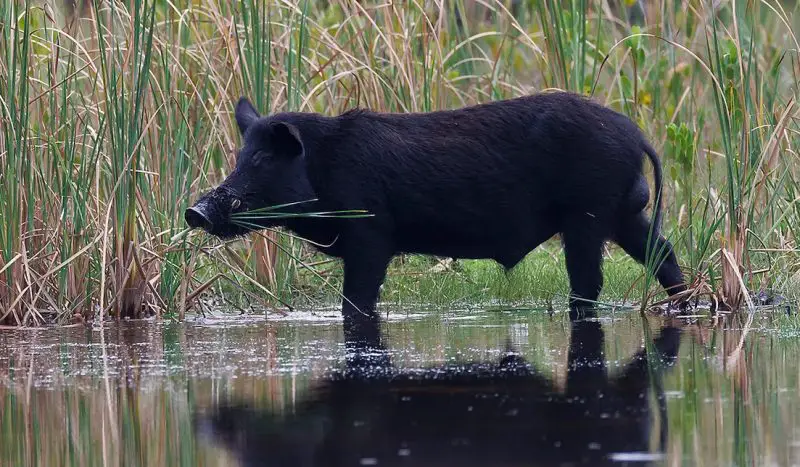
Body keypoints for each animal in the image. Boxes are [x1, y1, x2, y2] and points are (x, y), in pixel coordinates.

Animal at [185, 91, 687, 349]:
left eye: (264, 161)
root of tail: (637, 135)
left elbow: (357, 300)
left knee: (589, 282)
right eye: (240, 157)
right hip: (624, 214)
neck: (325, 168)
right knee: (662, 251)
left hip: (589, 214)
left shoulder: (371, 232)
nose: (196, 210)